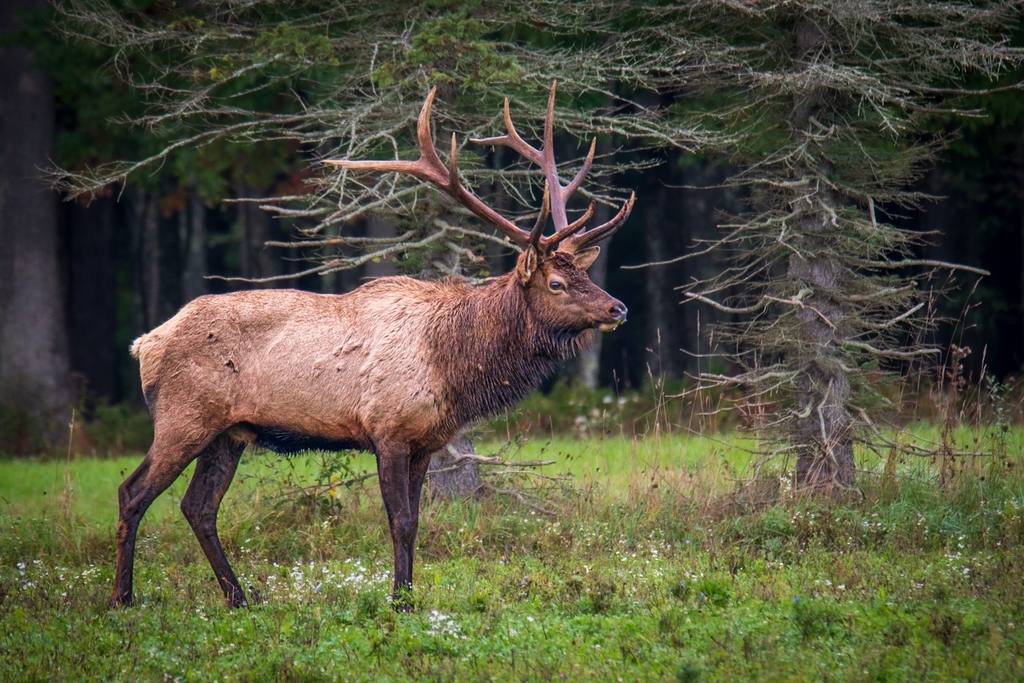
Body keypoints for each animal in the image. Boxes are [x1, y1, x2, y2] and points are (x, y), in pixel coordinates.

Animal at [114, 83, 633, 611]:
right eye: (556, 284)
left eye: (584, 274)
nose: (618, 308)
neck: (452, 366)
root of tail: (144, 344)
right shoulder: (388, 428)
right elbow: (399, 521)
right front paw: (400, 601)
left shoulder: (426, 441)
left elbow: (416, 521)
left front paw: (408, 594)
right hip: (183, 417)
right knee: (133, 492)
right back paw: (123, 598)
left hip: (229, 432)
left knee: (197, 506)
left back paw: (240, 597)